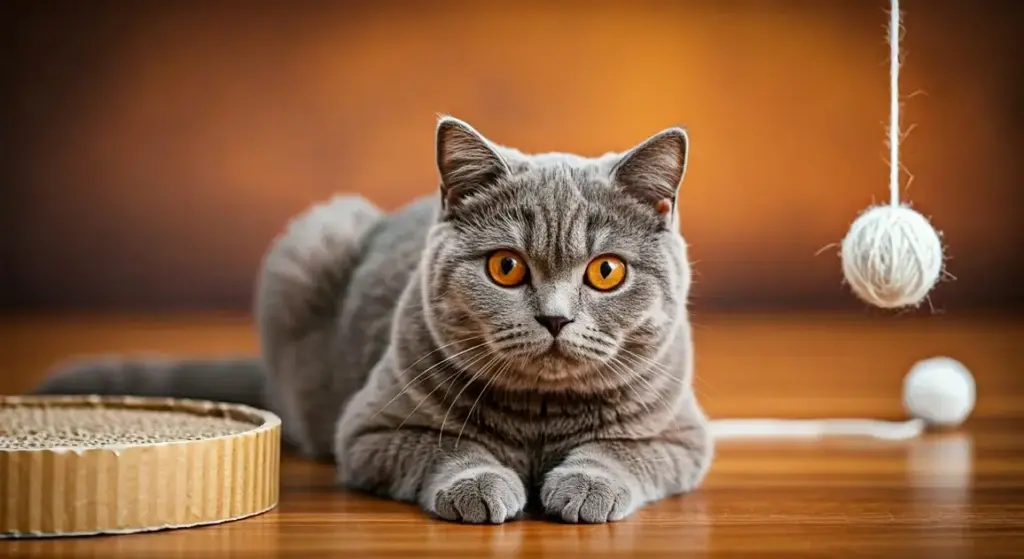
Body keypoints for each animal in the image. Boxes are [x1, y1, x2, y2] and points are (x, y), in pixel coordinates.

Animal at [37, 116, 712, 522]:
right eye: (506, 267)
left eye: (606, 272)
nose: (554, 318)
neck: (540, 419)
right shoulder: (370, 429)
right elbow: (444, 446)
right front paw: (481, 486)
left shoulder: (682, 434)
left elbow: (624, 451)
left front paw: (586, 487)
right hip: (313, 240)